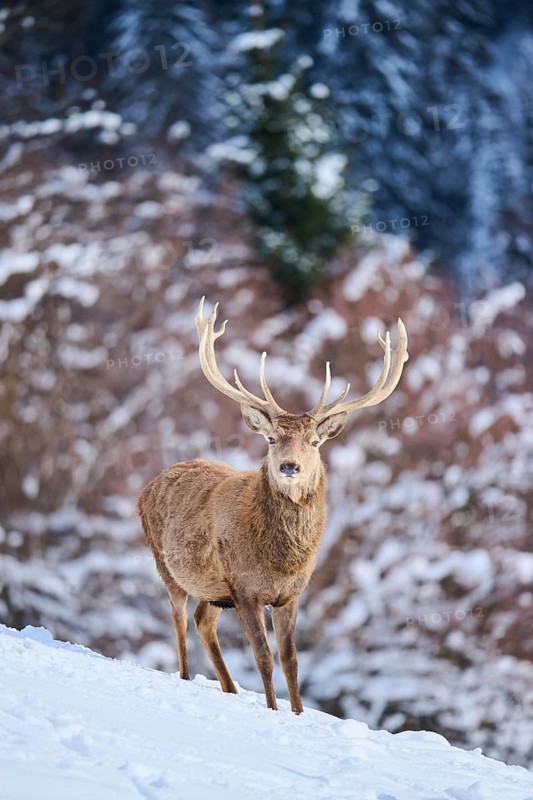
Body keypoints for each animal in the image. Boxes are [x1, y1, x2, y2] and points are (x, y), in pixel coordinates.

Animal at [138, 297, 408, 713]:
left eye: (314, 442)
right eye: (270, 439)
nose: (289, 466)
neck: (281, 561)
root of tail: (146, 487)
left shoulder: (290, 595)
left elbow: (291, 660)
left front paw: (296, 712)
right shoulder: (245, 588)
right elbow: (263, 656)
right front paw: (272, 709)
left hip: (215, 591)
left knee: (202, 619)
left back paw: (230, 689)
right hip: (167, 566)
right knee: (180, 617)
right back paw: (185, 675)